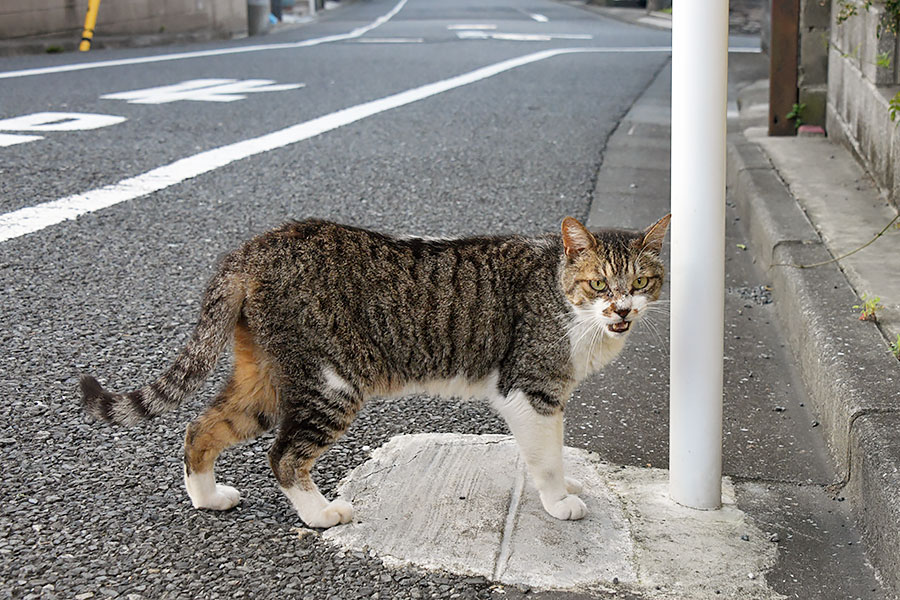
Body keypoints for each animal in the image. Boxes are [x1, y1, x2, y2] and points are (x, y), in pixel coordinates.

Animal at [81, 216, 668, 528]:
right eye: (599, 284)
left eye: (641, 283)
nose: (622, 310)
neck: (566, 302)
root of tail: (254, 246)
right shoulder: (531, 391)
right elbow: (546, 457)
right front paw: (558, 501)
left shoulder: (548, 395)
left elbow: (553, 451)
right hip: (331, 384)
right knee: (283, 455)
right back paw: (321, 515)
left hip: (264, 382)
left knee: (200, 427)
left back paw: (207, 498)